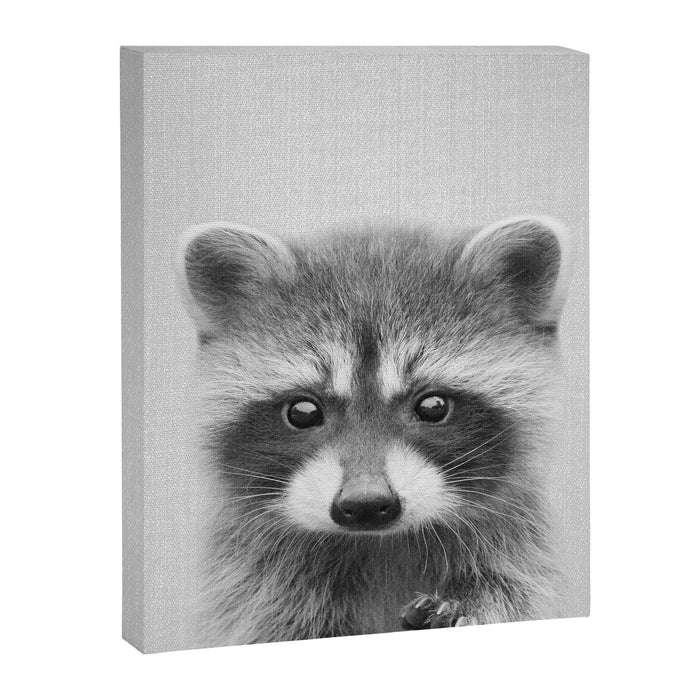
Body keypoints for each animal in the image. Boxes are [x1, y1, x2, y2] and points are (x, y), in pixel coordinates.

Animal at [175, 216, 574, 645]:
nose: (366, 504)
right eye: (303, 412)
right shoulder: (256, 584)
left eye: (432, 407)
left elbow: (508, 591)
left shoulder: (516, 552)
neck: (380, 543)